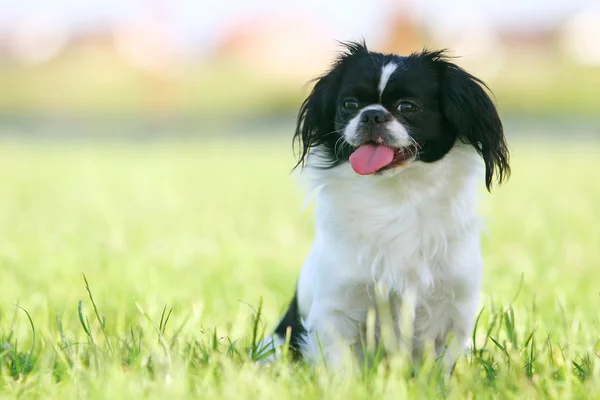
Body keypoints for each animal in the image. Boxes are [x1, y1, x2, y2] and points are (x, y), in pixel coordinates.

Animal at [260, 42, 508, 374]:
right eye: (350, 104)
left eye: (408, 107)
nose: (372, 115)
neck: (396, 197)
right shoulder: (336, 309)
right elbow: (341, 367)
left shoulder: (452, 311)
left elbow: (439, 369)